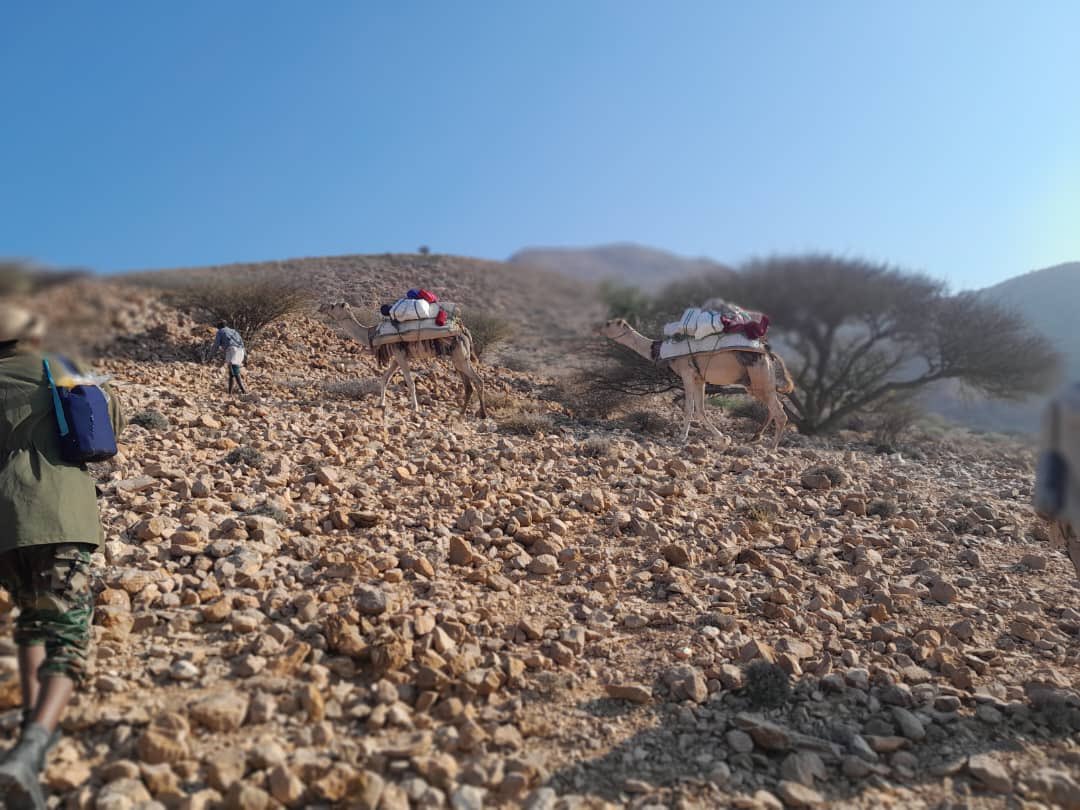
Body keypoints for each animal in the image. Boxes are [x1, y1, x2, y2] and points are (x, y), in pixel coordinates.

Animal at [320, 302, 487, 418]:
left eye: (334, 305)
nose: (322, 307)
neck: (371, 333)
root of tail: (464, 331)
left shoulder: (399, 354)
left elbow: (410, 381)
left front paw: (415, 408)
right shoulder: (397, 357)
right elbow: (385, 378)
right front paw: (381, 403)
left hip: (460, 357)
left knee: (478, 381)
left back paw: (483, 414)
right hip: (456, 358)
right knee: (468, 386)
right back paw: (461, 413)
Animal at [599, 318, 794, 447]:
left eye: (609, 324)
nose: (598, 328)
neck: (659, 350)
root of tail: (768, 354)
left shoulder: (687, 373)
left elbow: (689, 408)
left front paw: (681, 438)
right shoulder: (699, 378)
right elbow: (700, 410)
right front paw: (723, 438)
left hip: (759, 379)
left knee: (780, 413)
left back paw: (772, 448)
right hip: (755, 382)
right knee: (776, 406)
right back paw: (755, 437)